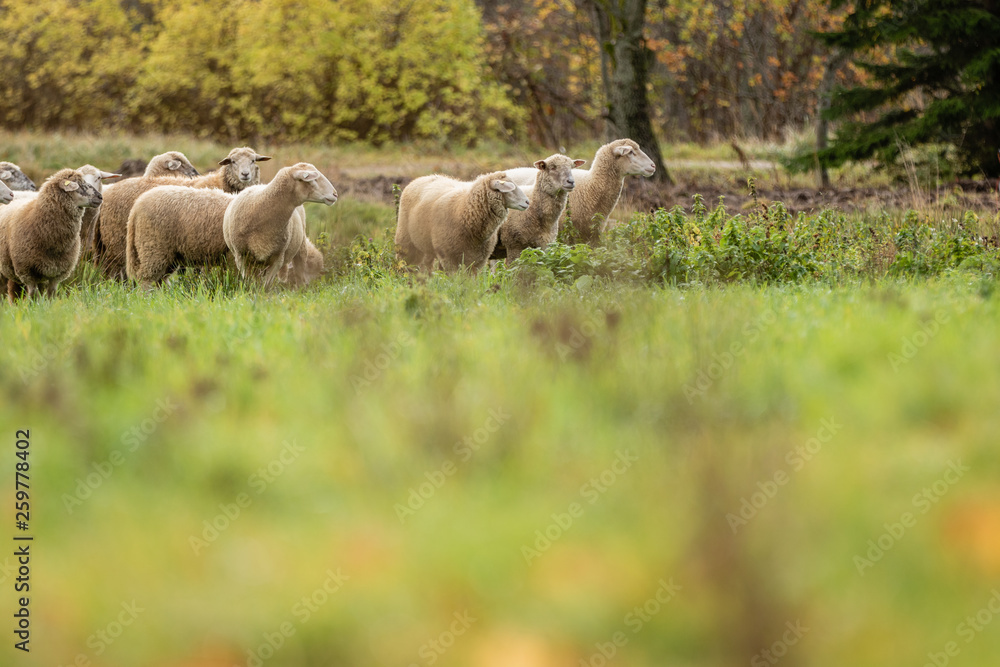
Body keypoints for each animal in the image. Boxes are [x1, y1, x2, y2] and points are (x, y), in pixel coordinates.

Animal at [0, 169, 102, 302]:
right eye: (79, 184)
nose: (100, 197)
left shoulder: (57, 272)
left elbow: (51, 295)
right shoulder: (27, 271)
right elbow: (34, 296)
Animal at [395, 171, 529, 273]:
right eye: (510, 188)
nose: (528, 202)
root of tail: (425, 176)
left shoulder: (478, 260)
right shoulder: (449, 257)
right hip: (405, 240)